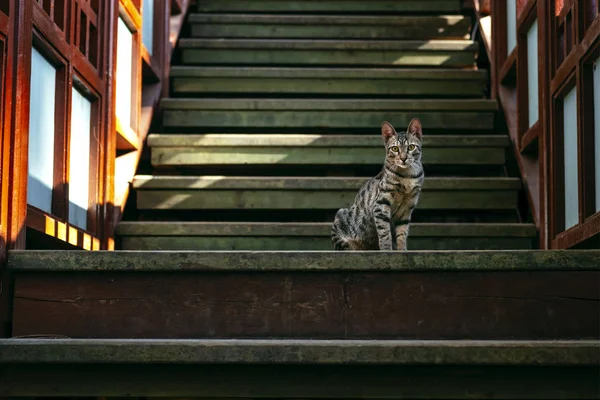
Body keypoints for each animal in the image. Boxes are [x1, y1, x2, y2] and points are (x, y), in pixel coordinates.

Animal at [330, 117, 424, 252]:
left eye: (411, 147)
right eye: (395, 149)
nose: (403, 158)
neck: (407, 176)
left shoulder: (407, 208)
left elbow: (402, 234)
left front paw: (402, 250)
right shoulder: (381, 204)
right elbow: (385, 233)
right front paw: (387, 251)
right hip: (341, 221)